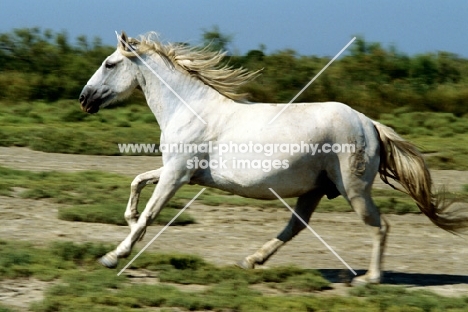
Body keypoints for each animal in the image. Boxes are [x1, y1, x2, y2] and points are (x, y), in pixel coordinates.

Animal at [78, 31, 466, 286]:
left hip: (354, 190)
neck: (188, 108)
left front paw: (114, 255)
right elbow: (138, 183)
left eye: (109, 63)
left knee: (379, 226)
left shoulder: (177, 174)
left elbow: (150, 214)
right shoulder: (177, 171)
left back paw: (369, 279)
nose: (84, 98)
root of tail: (369, 123)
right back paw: (251, 260)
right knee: (296, 226)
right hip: (315, 190)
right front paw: (127, 223)